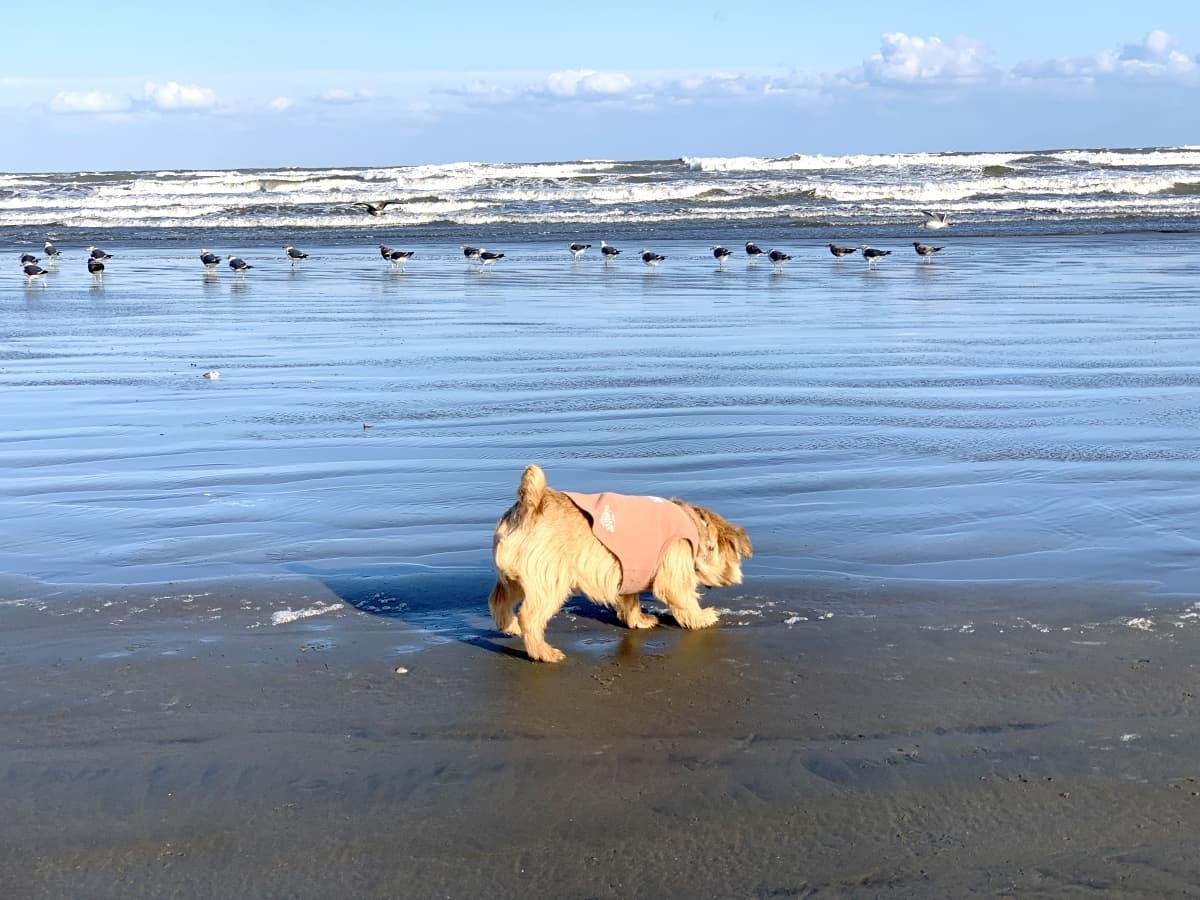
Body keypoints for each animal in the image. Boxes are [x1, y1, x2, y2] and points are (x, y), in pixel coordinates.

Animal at [484, 465, 748, 662]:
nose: (738, 578)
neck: (697, 528)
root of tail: (531, 503)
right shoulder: (674, 572)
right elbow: (684, 599)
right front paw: (702, 618)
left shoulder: (628, 571)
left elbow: (630, 602)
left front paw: (639, 621)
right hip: (550, 581)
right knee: (529, 616)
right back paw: (543, 652)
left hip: (512, 578)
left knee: (498, 600)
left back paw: (510, 626)